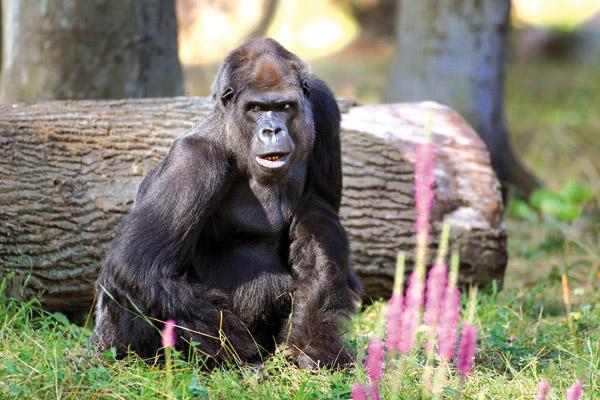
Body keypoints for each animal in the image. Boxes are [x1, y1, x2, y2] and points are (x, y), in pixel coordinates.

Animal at [91, 38, 358, 368]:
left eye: (284, 107)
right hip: (113, 345)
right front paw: (240, 355)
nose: (272, 130)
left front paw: (313, 345)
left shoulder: (322, 104)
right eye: (255, 108)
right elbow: (136, 269)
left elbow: (319, 218)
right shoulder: (194, 159)